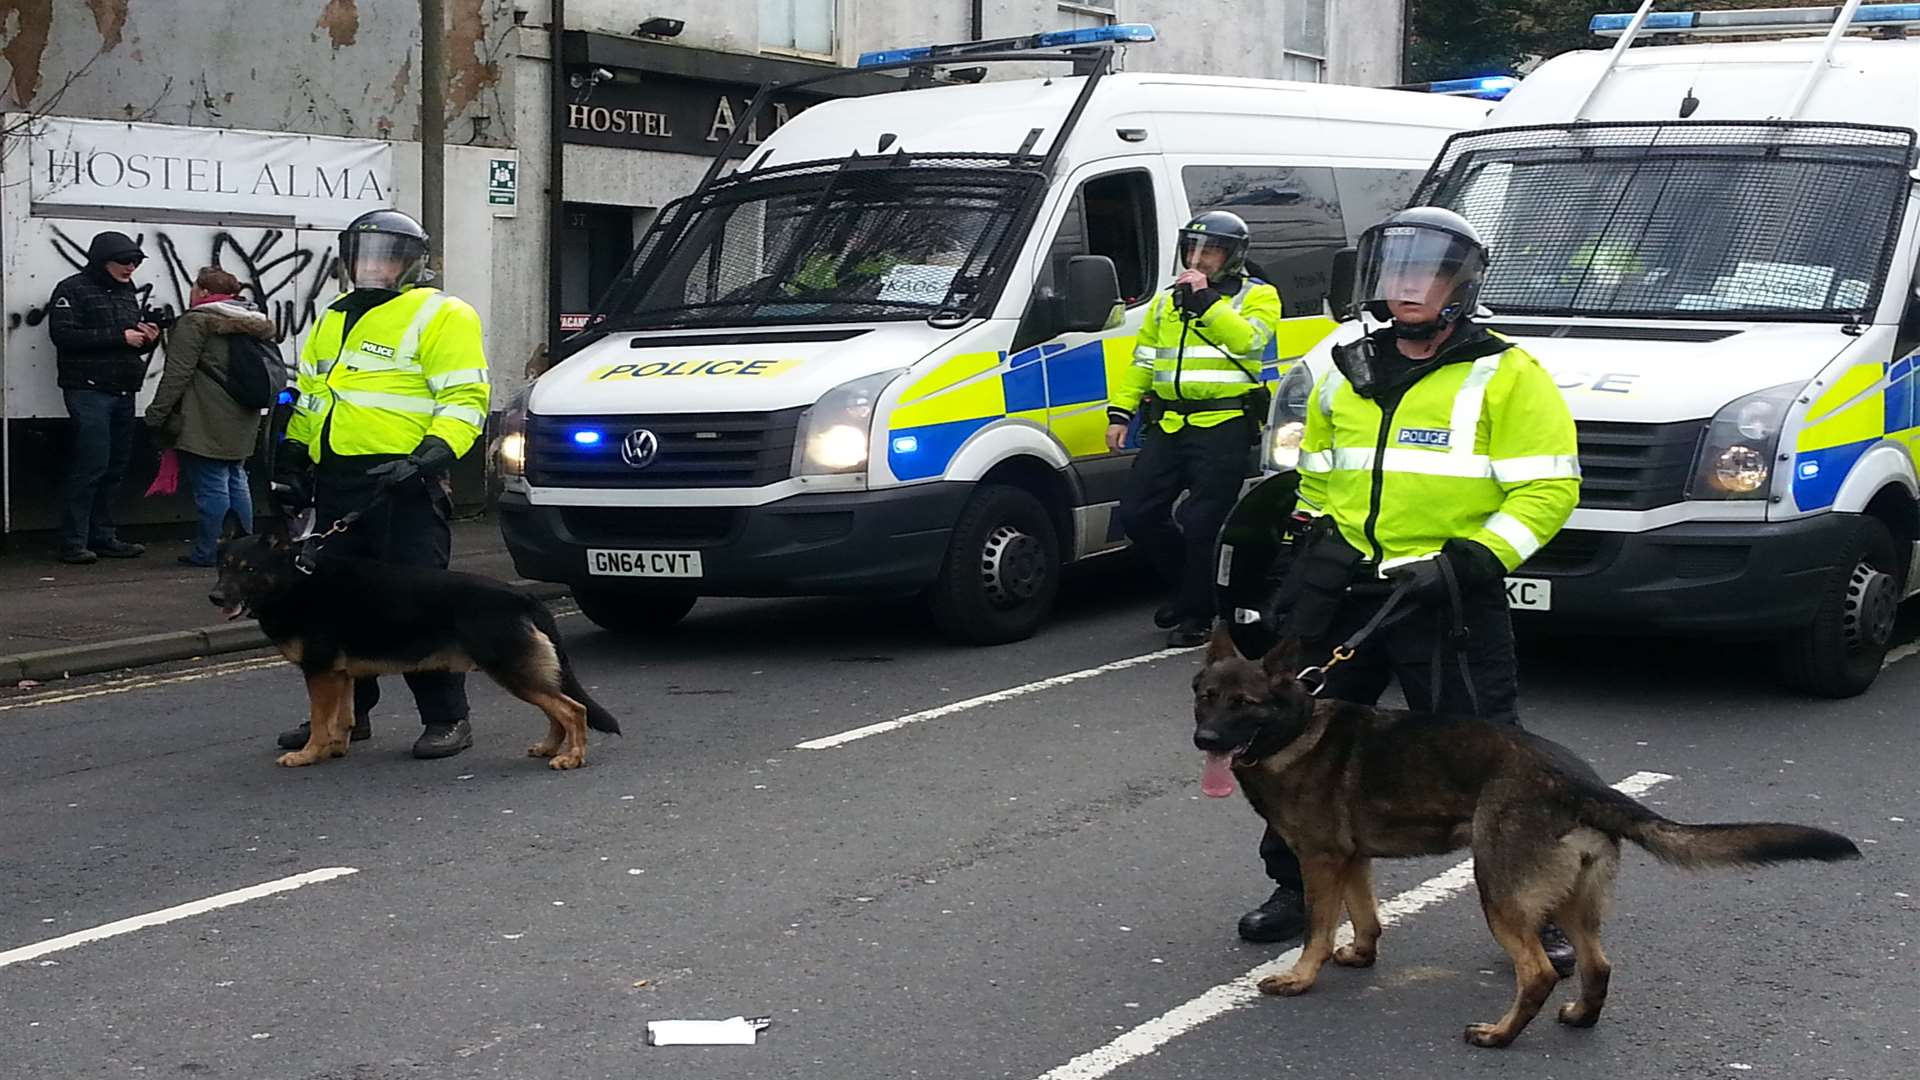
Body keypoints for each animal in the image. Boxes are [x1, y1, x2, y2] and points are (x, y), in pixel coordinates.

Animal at [216, 511, 622, 764]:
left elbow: (320, 720)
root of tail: (523, 596)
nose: (216, 598)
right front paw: (333, 750)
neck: (294, 581)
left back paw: (572, 757)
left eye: (249, 570)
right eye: (224, 566)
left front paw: (308, 755)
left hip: (512, 671)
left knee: (573, 709)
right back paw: (551, 748)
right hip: (522, 673)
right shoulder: (339, 676)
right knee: (557, 708)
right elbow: (342, 719)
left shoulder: (320, 673)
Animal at [1190, 622, 1850, 1045]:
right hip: (1574, 900)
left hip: (1498, 890)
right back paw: (1580, 1017)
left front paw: (1302, 978)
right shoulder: (1352, 860)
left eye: (1244, 703)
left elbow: (1318, 929)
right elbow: (1366, 915)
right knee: (1598, 965)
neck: (1294, 729)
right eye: (1205, 697)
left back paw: (1499, 1035)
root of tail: (1581, 783)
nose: (1204, 741)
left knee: (1537, 973)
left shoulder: (1322, 860)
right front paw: (1362, 953)